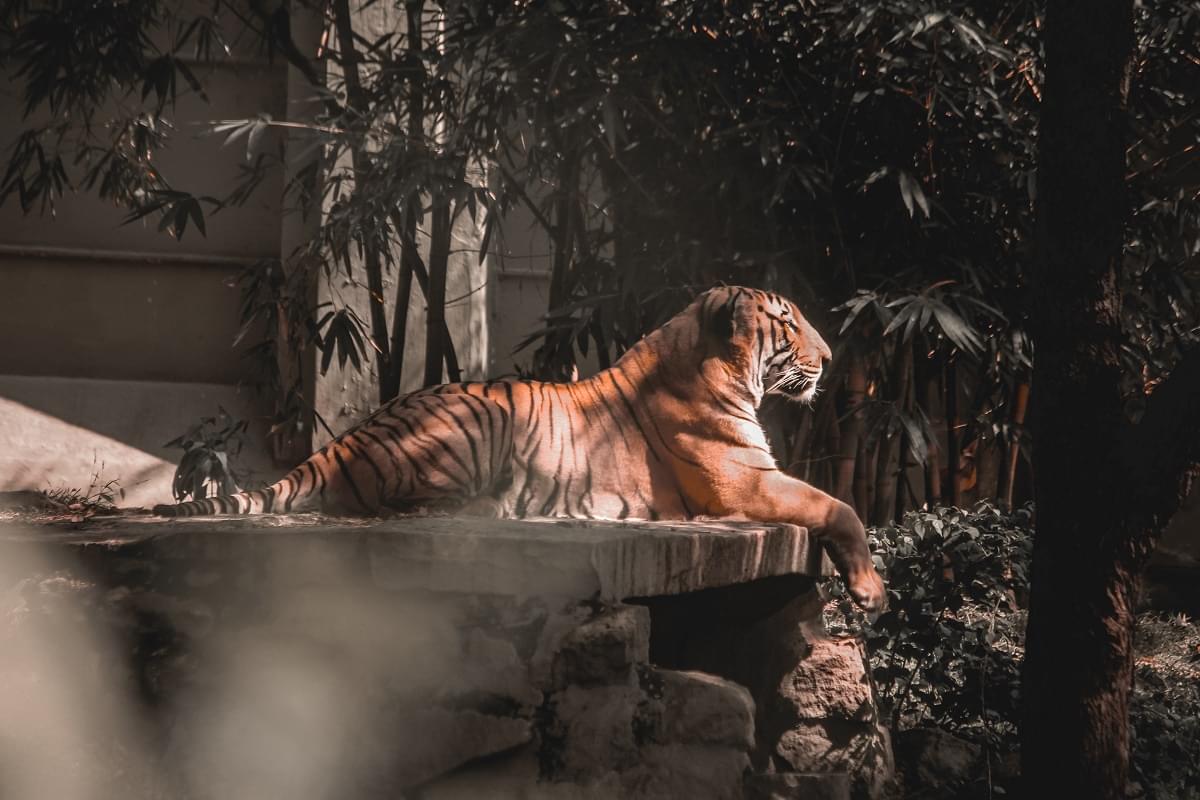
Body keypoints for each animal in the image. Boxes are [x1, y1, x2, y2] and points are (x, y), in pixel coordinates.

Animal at [154, 287, 888, 614]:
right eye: (788, 322)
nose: (831, 360)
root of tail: (352, 435)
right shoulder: (745, 480)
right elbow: (842, 505)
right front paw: (871, 590)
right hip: (482, 416)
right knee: (395, 509)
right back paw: (496, 507)